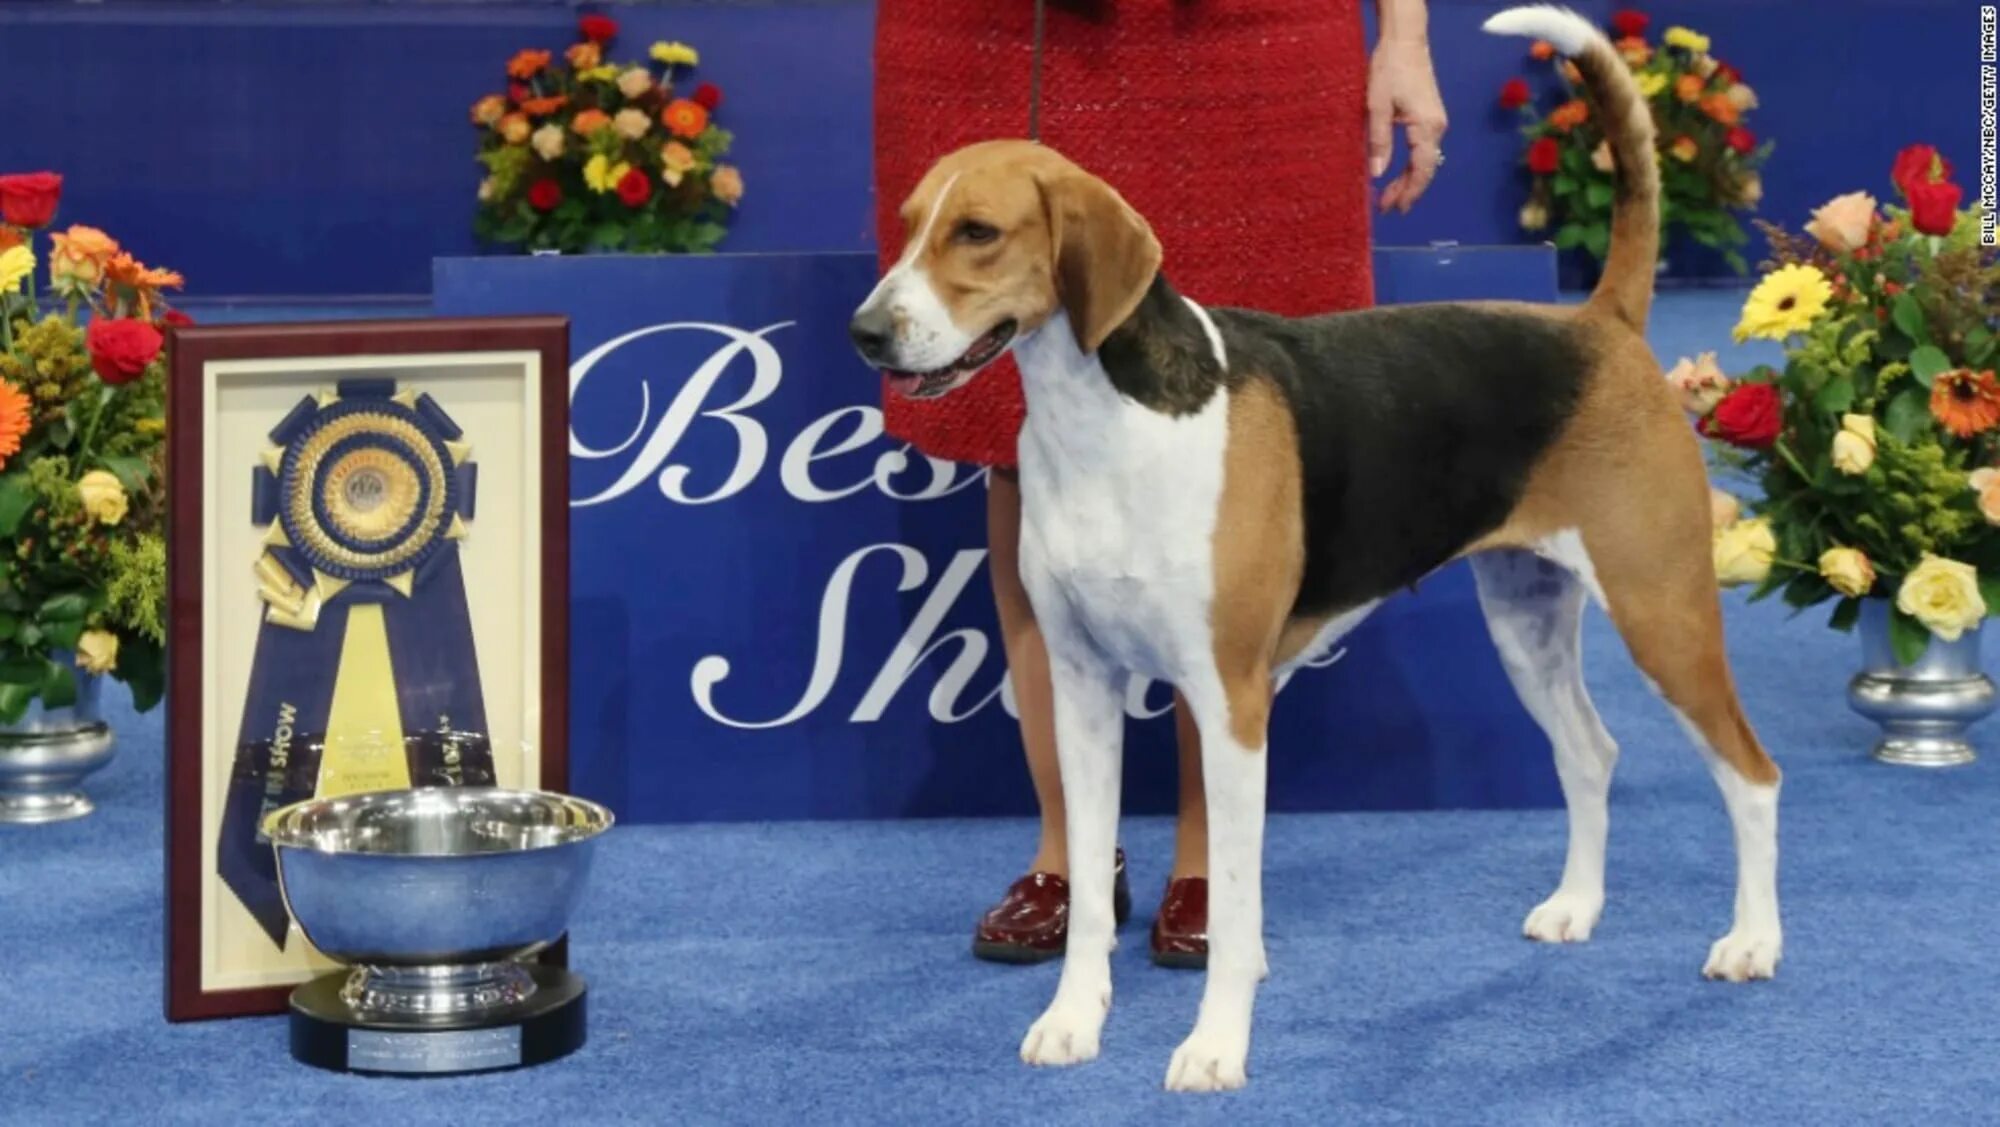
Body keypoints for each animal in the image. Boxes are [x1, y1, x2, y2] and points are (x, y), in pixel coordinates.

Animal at [844, 2, 1784, 1095]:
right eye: (908, 223)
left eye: (978, 234)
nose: (866, 331)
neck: (1110, 413)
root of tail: (1600, 321)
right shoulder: (1080, 686)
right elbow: (1084, 894)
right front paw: (1073, 1020)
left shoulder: (1229, 700)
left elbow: (1234, 895)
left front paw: (1214, 1045)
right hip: (1526, 618)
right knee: (1591, 752)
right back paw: (1575, 908)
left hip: (1662, 611)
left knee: (1751, 775)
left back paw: (1751, 940)